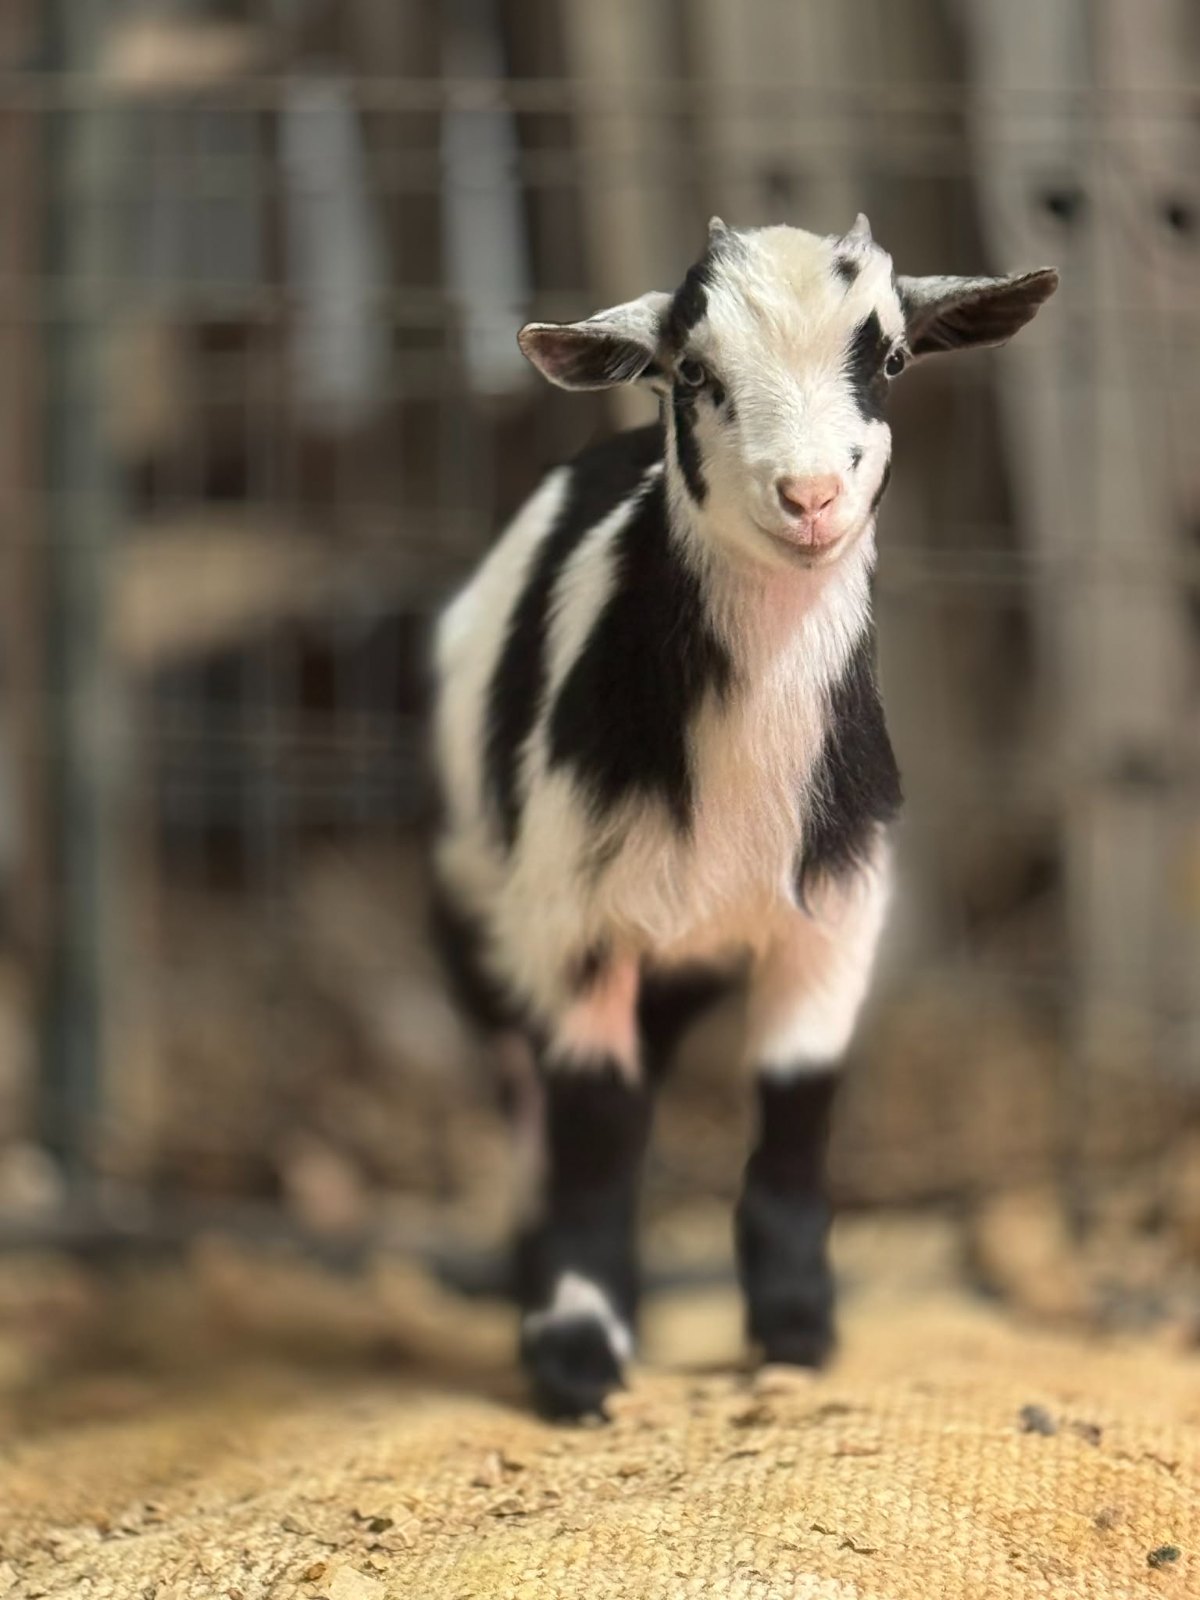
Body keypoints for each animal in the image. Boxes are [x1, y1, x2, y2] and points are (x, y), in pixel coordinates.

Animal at [430, 214, 1057, 1417]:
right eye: (694, 374)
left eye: (891, 357)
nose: (809, 496)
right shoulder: (575, 922)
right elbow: (593, 1132)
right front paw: (576, 1355)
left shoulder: (838, 917)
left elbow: (796, 1120)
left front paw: (796, 1333)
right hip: (473, 901)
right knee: (525, 1096)